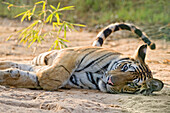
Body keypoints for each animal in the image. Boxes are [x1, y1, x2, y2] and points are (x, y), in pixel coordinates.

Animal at [0, 22, 163, 95]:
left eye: (132, 84)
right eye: (123, 68)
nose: (110, 81)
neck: (99, 76)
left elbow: (29, 78)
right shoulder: (72, 54)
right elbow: (59, 71)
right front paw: (45, 76)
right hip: (43, 56)